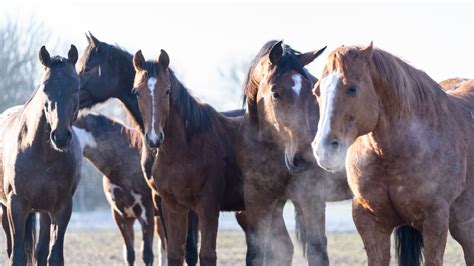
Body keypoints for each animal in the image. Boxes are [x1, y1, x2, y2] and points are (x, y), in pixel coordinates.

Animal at [0, 44, 81, 264]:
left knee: (41, 251)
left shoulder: (62, 207)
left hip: (44, 212)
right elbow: (17, 255)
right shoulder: (16, 205)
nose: (60, 137)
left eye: (76, 87)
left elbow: (54, 257)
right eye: (45, 88)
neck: (44, 157)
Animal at [131, 48, 246, 264]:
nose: (154, 138)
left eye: (167, 91)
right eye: (136, 92)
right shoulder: (173, 206)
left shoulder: (207, 205)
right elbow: (176, 254)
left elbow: (207, 255)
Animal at [237, 40, 352, 264]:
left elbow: (317, 251)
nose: (304, 157)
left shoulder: (311, 198)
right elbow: (259, 252)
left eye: (311, 93)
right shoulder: (259, 200)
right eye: (275, 93)